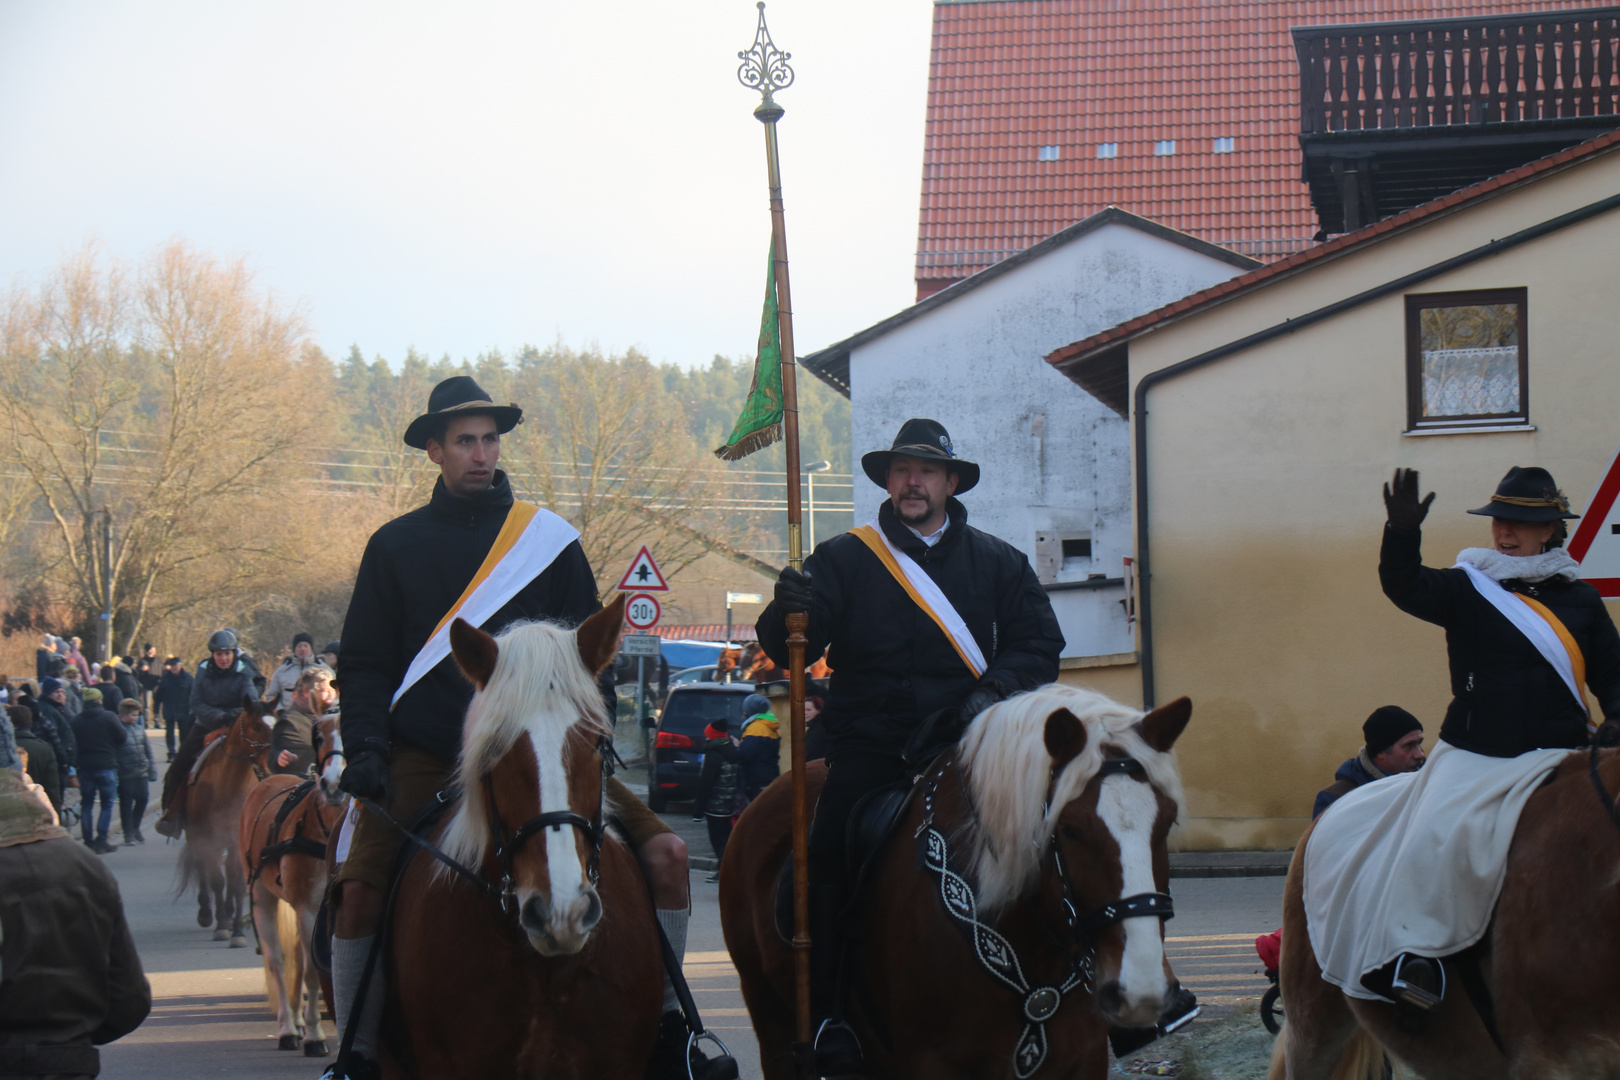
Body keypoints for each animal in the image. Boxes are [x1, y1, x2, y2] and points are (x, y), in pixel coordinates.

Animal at [177, 702, 275, 945]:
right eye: (256, 726)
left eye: (275, 724)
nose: (268, 766)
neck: (228, 785)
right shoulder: (207, 839)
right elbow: (216, 881)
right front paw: (221, 925)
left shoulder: (235, 840)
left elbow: (236, 883)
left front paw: (237, 931)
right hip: (197, 837)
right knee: (203, 870)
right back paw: (206, 913)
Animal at [236, 712, 343, 1062]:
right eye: (319, 737)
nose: (334, 784)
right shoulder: (308, 909)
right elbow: (311, 971)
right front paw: (313, 1036)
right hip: (261, 895)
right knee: (279, 960)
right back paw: (288, 1028)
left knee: (296, 953)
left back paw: (296, 1018)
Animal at [722, 689, 1192, 1075]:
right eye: (1070, 829)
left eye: (1168, 821)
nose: (1142, 991)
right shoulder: (935, 1063)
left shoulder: (1082, 1060)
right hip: (774, 1027)